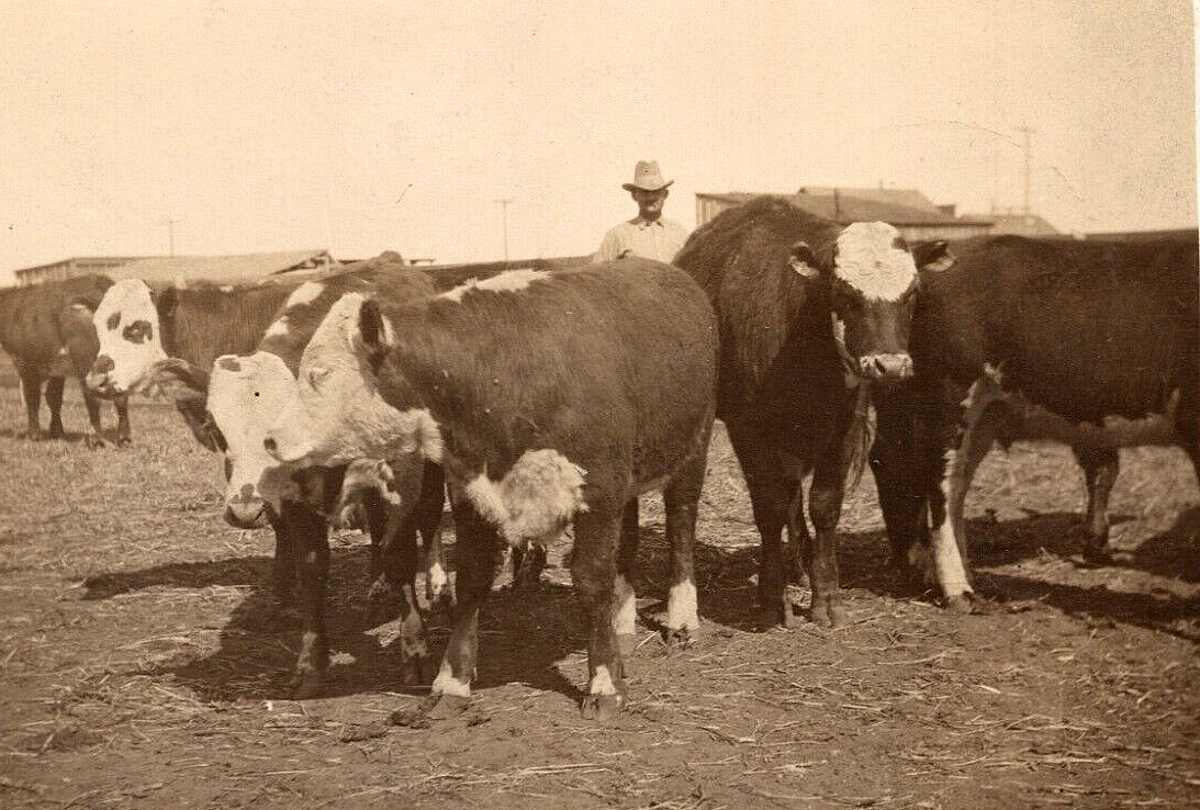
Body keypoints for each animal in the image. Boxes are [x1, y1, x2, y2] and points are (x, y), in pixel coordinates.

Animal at [0, 275, 131, 447]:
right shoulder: (56, 368)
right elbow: (54, 397)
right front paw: (57, 433)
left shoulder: (24, 361)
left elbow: (32, 397)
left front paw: (35, 435)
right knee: (121, 395)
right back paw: (124, 439)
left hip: (86, 358)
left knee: (93, 396)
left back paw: (97, 440)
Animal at [262, 259, 719, 721]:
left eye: (320, 374)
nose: (271, 439)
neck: (498, 373)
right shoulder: (471, 492)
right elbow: (473, 579)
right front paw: (452, 680)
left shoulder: (598, 491)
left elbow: (591, 582)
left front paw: (605, 683)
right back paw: (623, 620)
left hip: (692, 450)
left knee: (680, 525)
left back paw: (681, 617)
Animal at [672, 196, 954, 629]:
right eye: (843, 292)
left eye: (912, 293)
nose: (889, 366)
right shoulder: (749, 428)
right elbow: (769, 509)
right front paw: (772, 600)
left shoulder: (845, 426)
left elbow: (823, 506)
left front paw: (825, 598)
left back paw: (801, 567)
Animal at [871, 235, 1199, 605]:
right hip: (948, 394)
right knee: (935, 480)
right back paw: (956, 589)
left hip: (984, 413)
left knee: (955, 483)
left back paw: (960, 576)